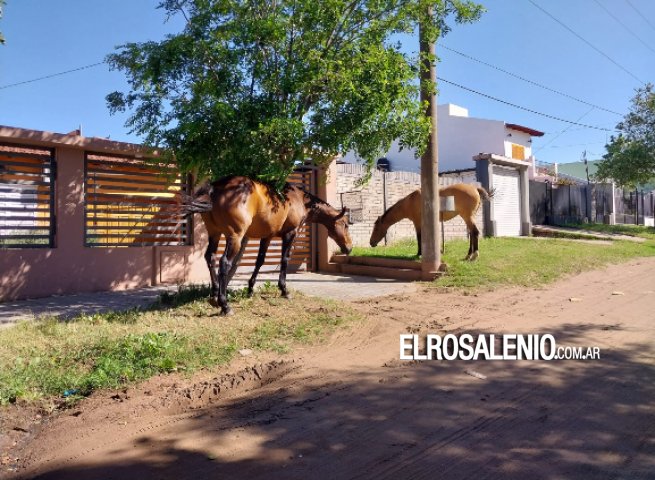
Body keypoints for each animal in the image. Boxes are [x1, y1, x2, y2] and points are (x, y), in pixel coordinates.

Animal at [184, 176, 354, 316]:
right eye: (345, 224)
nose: (349, 248)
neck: (298, 199)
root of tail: (216, 188)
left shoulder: (267, 236)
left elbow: (260, 260)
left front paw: (250, 289)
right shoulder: (290, 233)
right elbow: (284, 260)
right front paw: (284, 290)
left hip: (214, 234)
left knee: (210, 257)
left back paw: (213, 297)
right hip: (235, 237)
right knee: (224, 263)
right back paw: (225, 305)